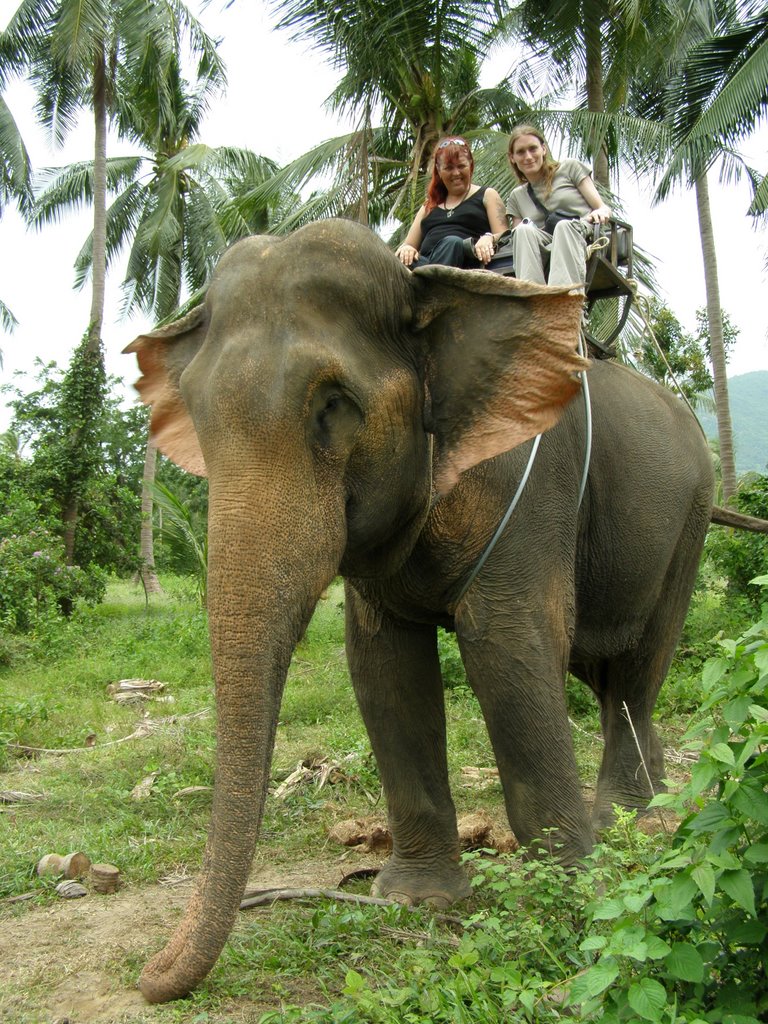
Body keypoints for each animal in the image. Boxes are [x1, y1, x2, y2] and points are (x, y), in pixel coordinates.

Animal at [124, 218, 716, 999]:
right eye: (195, 412)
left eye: (332, 406)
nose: (150, 974)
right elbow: (384, 669)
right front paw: (419, 898)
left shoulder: (533, 491)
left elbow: (508, 651)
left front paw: (570, 899)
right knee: (606, 675)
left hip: (692, 518)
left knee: (637, 673)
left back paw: (625, 822)